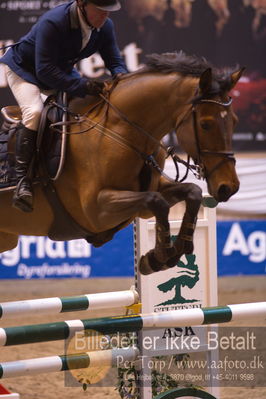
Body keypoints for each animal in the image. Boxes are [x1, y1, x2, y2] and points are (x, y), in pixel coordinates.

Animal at [0, 52, 243, 276]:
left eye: (234, 122)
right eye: (205, 124)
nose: (228, 187)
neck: (121, 131)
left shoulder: (146, 199)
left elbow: (192, 192)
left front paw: (177, 248)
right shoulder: (96, 210)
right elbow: (157, 201)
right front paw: (159, 257)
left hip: (7, 239)